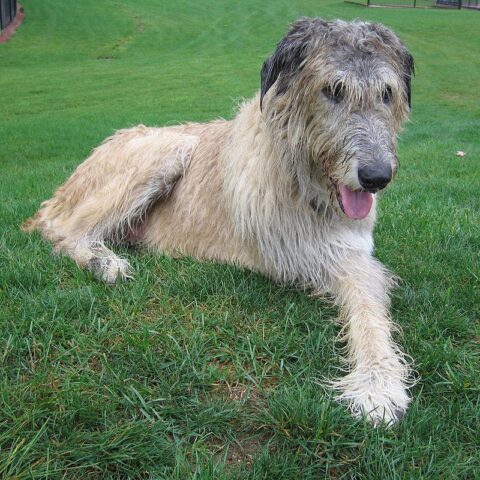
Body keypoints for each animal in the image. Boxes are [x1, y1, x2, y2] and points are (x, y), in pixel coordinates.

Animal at [22, 17, 414, 424]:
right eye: (333, 90)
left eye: (386, 93)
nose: (377, 176)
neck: (299, 176)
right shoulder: (306, 254)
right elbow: (361, 296)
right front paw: (377, 383)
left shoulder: (350, 251)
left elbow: (368, 301)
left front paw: (378, 376)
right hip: (167, 149)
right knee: (65, 234)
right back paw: (103, 263)